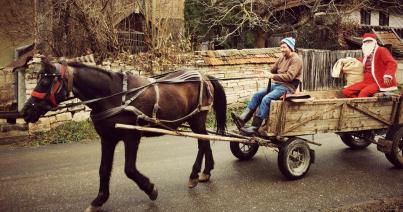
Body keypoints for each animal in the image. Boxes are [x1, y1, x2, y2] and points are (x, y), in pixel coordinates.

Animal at [21, 58, 227, 212]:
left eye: (45, 81)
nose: (25, 111)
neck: (114, 95)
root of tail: (204, 76)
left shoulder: (131, 137)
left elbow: (129, 169)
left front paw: (150, 189)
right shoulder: (107, 139)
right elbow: (104, 170)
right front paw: (99, 200)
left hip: (197, 119)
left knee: (202, 143)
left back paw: (194, 174)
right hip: (194, 121)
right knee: (205, 142)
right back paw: (206, 172)